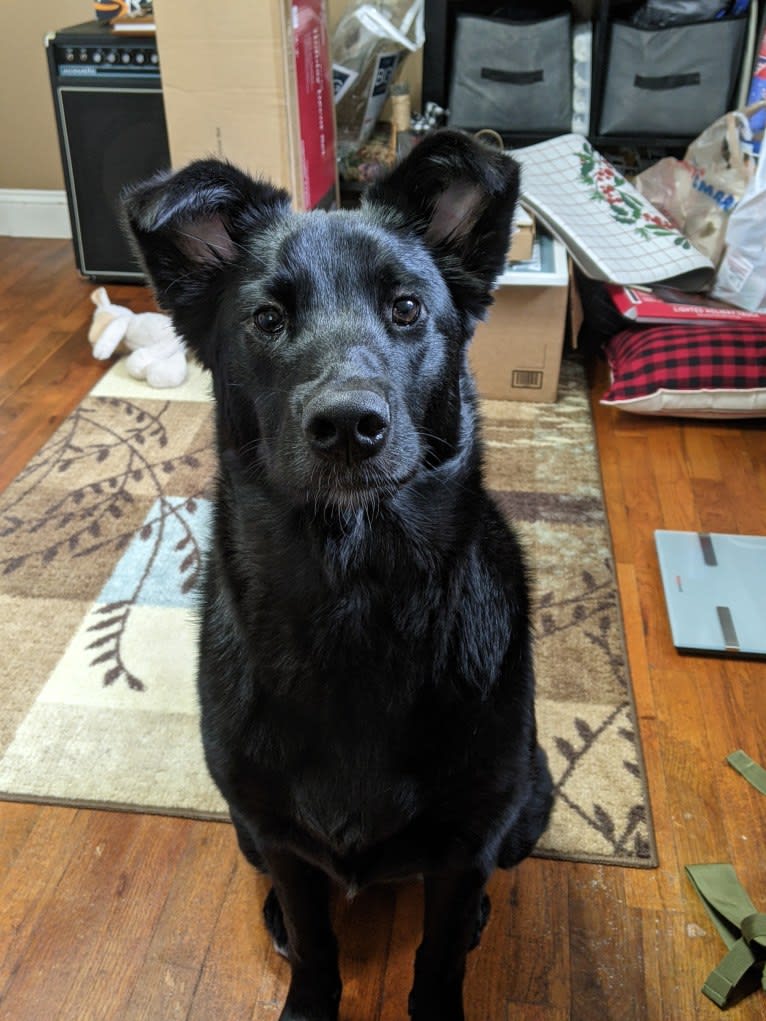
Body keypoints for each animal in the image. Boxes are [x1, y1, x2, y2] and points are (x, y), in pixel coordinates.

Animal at [126, 131, 551, 1021]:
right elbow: (316, 941)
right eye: (267, 318)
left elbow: (438, 959)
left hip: (529, 804)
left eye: (407, 309)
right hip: (248, 833)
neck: (354, 594)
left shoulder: (468, 845)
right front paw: (309, 998)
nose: (350, 425)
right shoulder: (279, 840)